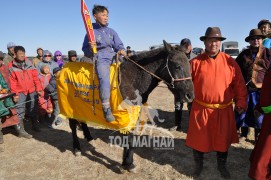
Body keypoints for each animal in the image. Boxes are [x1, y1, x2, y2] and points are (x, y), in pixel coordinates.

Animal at [69, 40, 194, 172]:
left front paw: (128, 162)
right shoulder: (126, 115)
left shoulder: (136, 114)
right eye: (177, 66)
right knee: (73, 125)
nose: (190, 95)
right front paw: (127, 164)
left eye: (189, 64)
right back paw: (77, 148)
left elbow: (132, 139)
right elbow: (128, 138)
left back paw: (88, 137)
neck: (133, 80)